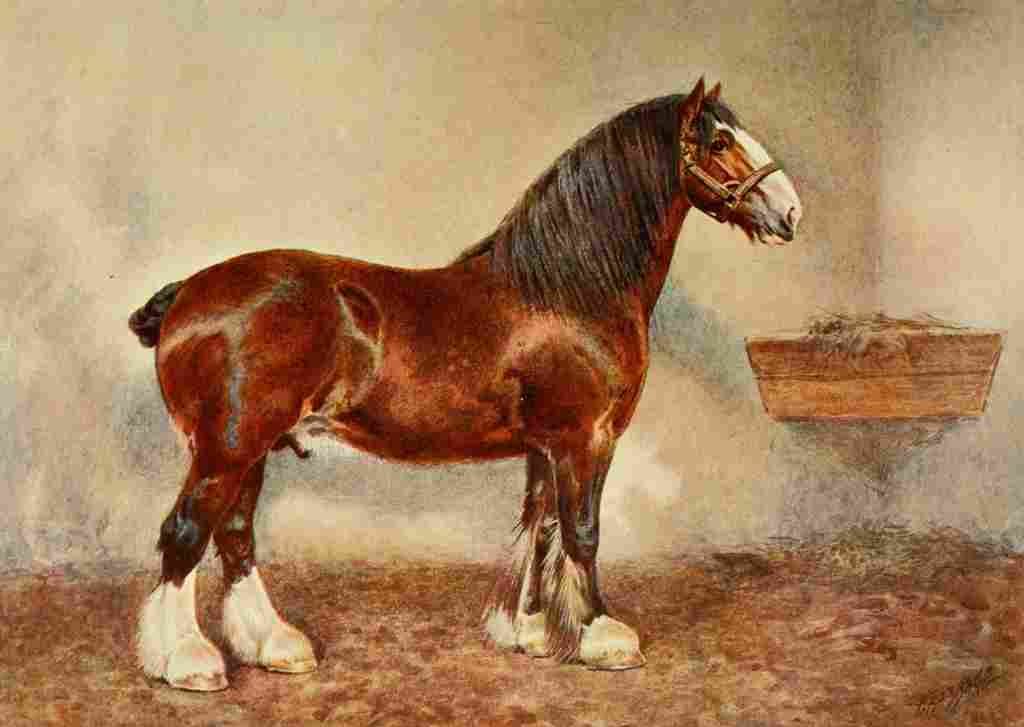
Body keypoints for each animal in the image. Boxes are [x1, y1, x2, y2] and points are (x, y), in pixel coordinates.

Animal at [129, 78, 802, 691]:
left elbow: (540, 526)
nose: (790, 211)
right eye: (719, 141)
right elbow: (582, 531)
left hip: (252, 449)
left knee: (235, 537)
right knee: (185, 534)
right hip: (230, 448)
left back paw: (275, 645)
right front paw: (601, 636)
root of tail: (187, 293)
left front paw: (529, 630)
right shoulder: (587, 439)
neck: (566, 291)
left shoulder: (545, 446)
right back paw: (187, 662)